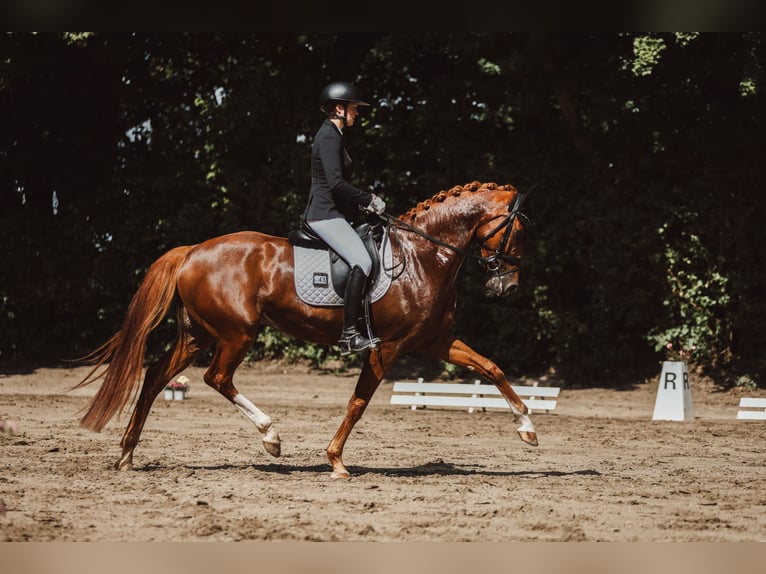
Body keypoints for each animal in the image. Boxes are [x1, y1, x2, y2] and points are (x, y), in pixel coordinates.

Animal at [72, 180, 537, 479]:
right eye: (518, 230)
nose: (508, 286)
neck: (423, 256)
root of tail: (191, 251)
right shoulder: (387, 347)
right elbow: (358, 402)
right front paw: (335, 461)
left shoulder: (434, 340)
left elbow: (491, 368)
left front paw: (527, 429)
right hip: (237, 333)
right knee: (216, 378)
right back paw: (271, 436)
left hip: (197, 335)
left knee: (154, 378)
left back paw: (127, 454)